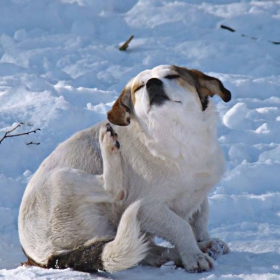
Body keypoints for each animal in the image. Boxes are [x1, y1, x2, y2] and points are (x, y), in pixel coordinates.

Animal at [18, 65, 231, 274]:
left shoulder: (198, 194)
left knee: (146, 252)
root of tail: (48, 257)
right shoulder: (148, 209)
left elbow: (200, 219)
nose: (152, 83)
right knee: (113, 190)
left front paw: (203, 243)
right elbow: (182, 226)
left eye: (172, 75)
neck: (177, 140)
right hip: (62, 179)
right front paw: (193, 256)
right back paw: (107, 143)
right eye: (139, 87)